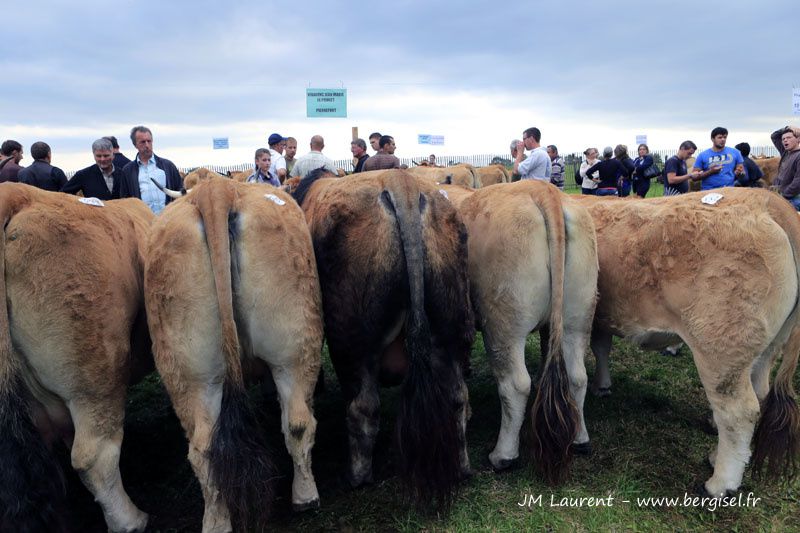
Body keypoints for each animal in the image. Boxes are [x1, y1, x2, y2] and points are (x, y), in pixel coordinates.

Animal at [145, 179, 324, 532]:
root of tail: (216, 189)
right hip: (292, 348)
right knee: (294, 422)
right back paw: (301, 497)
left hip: (199, 370)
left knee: (209, 446)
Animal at [290, 168, 476, 510]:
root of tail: (401, 184)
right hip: (453, 327)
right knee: (457, 396)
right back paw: (462, 466)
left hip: (351, 342)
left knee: (363, 407)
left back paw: (357, 475)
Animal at [440, 180, 596, 482]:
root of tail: (542, 189)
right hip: (577, 316)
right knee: (577, 376)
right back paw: (581, 439)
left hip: (502, 323)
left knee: (515, 384)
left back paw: (503, 455)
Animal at [540, 189, 800, 496]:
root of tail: (769, 201)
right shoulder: (600, 314)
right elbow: (601, 347)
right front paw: (603, 385)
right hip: (766, 348)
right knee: (758, 393)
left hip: (722, 348)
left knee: (739, 412)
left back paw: (720, 483)